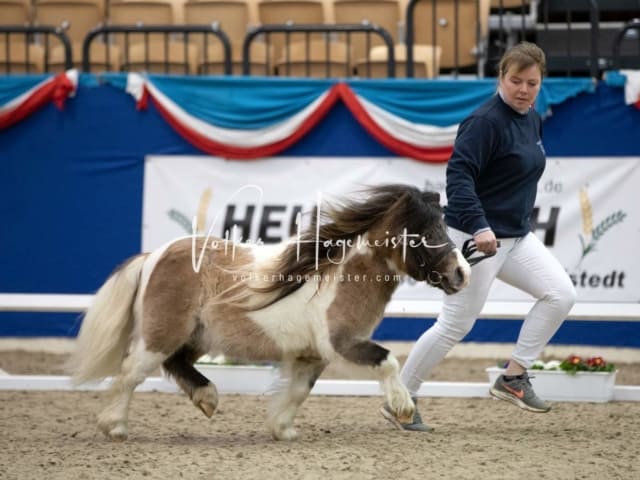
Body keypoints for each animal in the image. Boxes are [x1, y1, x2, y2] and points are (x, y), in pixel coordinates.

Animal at [71, 185, 470, 442]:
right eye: (425, 233)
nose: (462, 273)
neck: (338, 276)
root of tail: (153, 255)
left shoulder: (312, 355)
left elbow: (298, 391)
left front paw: (283, 430)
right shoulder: (342, 342)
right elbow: (388, 361)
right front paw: (402, 407)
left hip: (195, 336)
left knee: (175, 364)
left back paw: (207, 398)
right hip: (162, 334)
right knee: (130, 373)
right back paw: (115, 427)